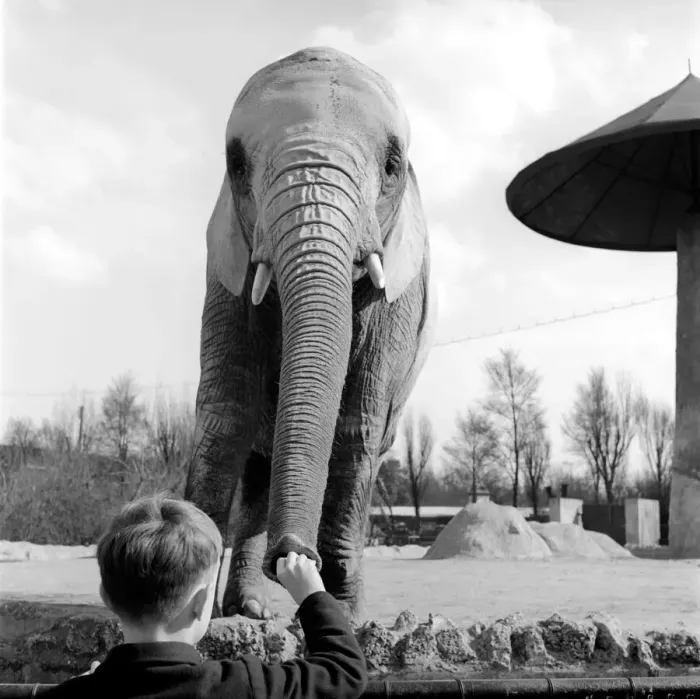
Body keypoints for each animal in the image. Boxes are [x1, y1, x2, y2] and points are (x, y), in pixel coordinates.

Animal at [184, 46, 436, 624]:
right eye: (236, 164)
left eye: (392, 165)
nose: (292, 555)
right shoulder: (223, 270)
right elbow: (226, 412)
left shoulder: (398, 301)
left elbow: (355, 425)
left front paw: (346, 614)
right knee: (255, 463)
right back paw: (248, 610)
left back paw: (255, 609)